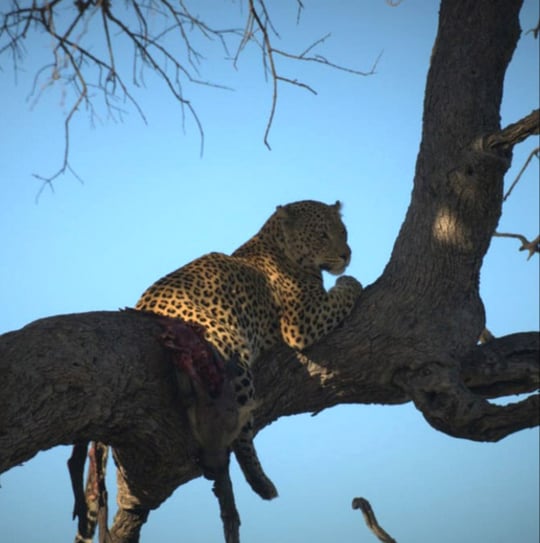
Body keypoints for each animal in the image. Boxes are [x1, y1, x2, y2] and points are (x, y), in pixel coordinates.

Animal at [135, 201, 362, 502]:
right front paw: (349, 281)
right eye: (322, 235)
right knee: (239, 431)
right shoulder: (302, 321)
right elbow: (345, 292)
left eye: (343, 231)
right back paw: (260, 482)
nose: (346, 255)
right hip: (231, 349)